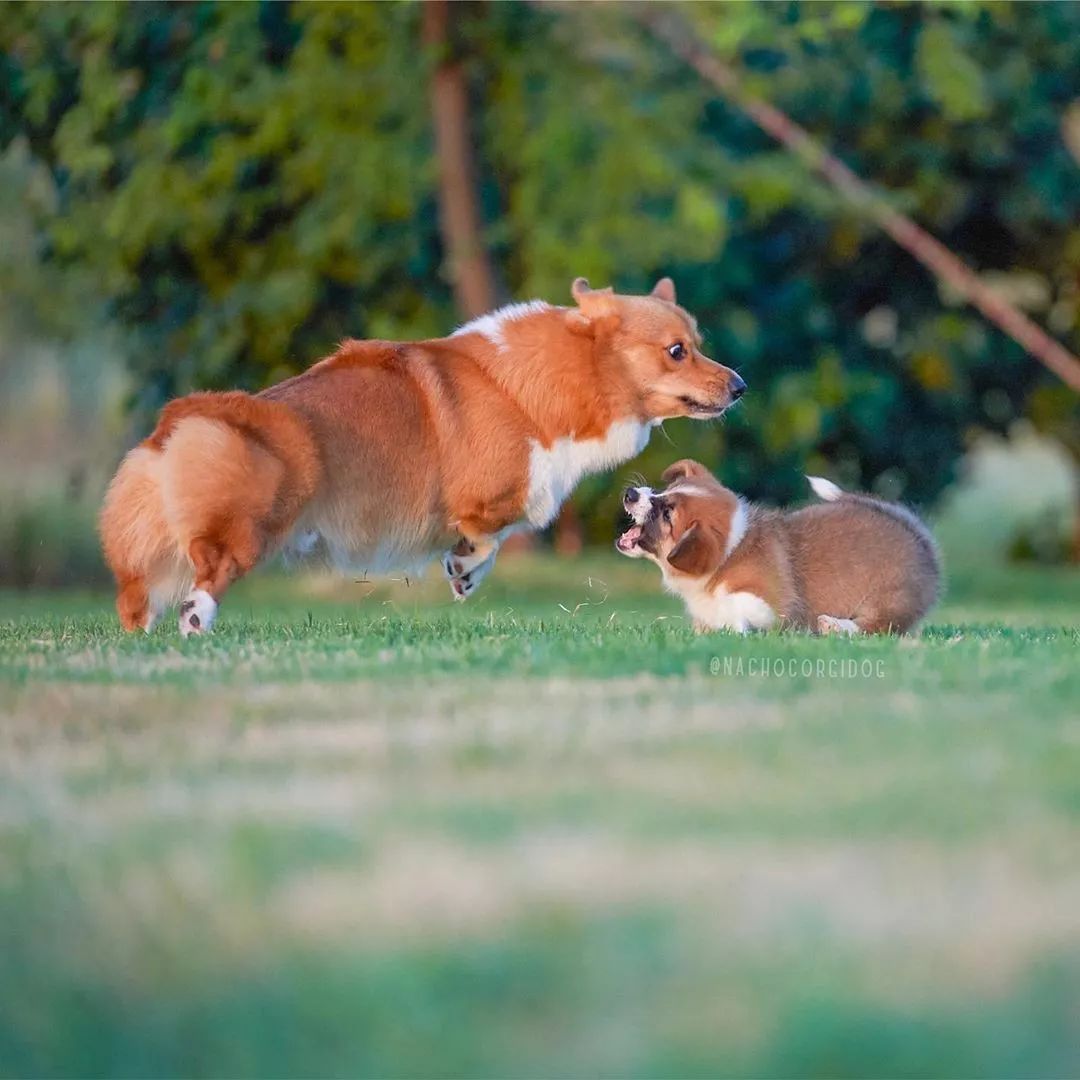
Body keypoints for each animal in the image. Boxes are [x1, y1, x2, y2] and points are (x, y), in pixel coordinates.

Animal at [99, 278, 743, 635]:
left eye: (698, 345)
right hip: (251, 528)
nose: (740, 386)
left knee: (135, 599)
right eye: (677, 351)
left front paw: (463, 573)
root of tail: (179, 423)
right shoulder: (495, 494)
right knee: (208, 571)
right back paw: (194, 620)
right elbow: (492, 530)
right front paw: (462, 567)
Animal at [622, 462, 941, 630]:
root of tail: (919, 537)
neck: (728, 556)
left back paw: (835, 626)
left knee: (875, 627)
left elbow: (735, 609)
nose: (630, 493)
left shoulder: (770, 606)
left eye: (667, 514)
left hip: (889, 599)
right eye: (665, 490)